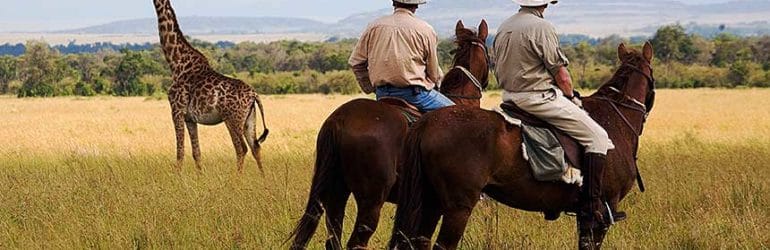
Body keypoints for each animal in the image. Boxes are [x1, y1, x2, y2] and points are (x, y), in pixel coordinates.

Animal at [152, 0, 268, 172]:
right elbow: (196, 152)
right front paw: (200, 176)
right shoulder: (190, 118)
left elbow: (180, 152)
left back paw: (236, 178)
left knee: (241, 149)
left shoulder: (176, 110)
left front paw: (178, 177)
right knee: (255, 147)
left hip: (232, 119)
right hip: (249, 119)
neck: (176, 62)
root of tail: (254, 94)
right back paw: (263, 178)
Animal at [390, 42, 656, 249]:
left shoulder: (584, 216)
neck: (616, 116)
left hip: (430, 201)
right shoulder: (601, 213)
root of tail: (426, 122)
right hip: (457, 207)